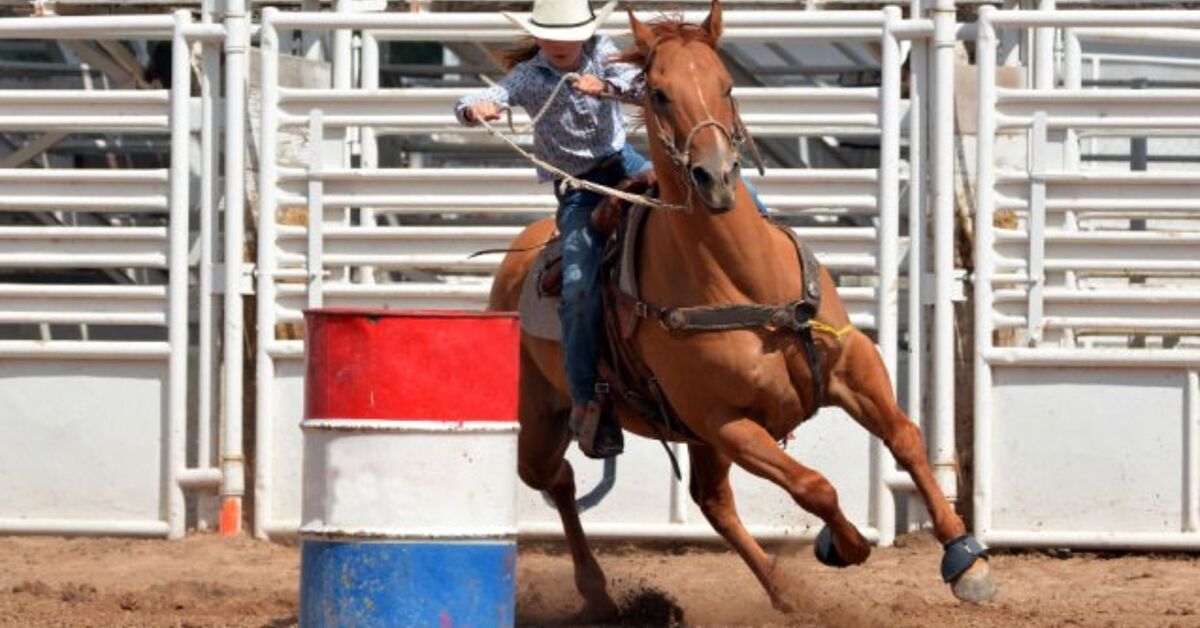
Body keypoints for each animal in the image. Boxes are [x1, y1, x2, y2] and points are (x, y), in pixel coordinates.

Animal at [487, 1, 996, 617]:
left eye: (726, 85)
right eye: (658, 93)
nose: (716, 177)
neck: (743, 280)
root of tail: (516, 260)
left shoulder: (852, 364)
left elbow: (905, 437)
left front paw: (965, 559)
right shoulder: (726, 422)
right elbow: (813, 485)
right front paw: (844, 544)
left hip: (691, 439)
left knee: (709, 501)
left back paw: (783, 591)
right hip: (544, 419)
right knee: (557, 478)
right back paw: (598, 591)